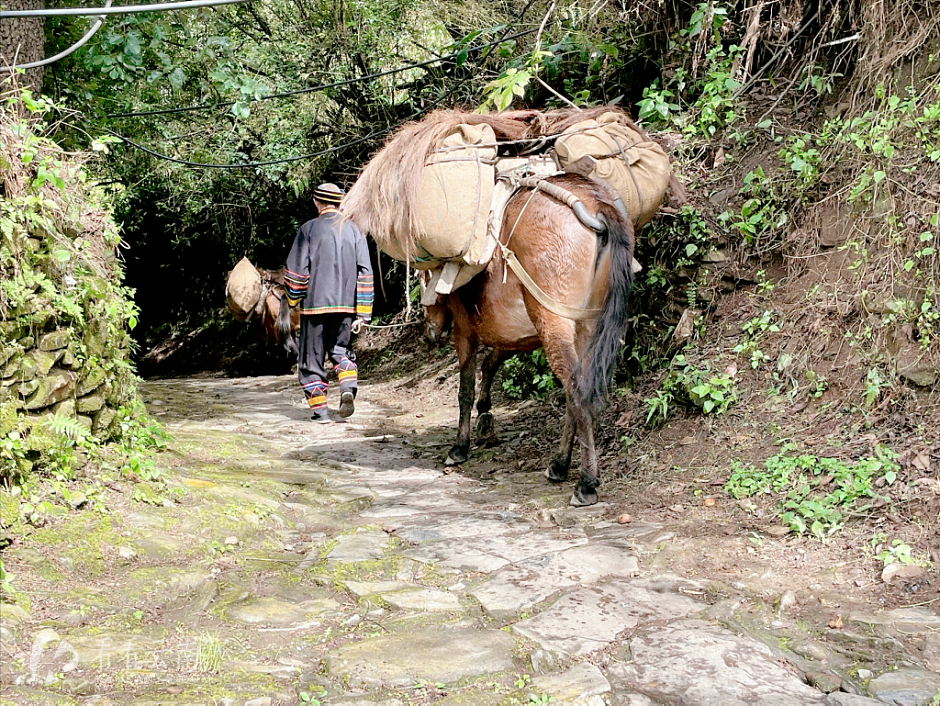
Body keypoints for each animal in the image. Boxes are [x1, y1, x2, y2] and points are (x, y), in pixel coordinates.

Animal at [423, 173, 635, 507]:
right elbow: (492, 362)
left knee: (576, 390)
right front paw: (485, 414)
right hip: (586, 327)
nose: (429, 331)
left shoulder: (465, 332)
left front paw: (460, 447)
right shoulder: (514, 336)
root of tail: (596, 203)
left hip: (553, 322)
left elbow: (466, 387)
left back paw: (586, 482)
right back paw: (559, 464)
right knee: (577, 389)